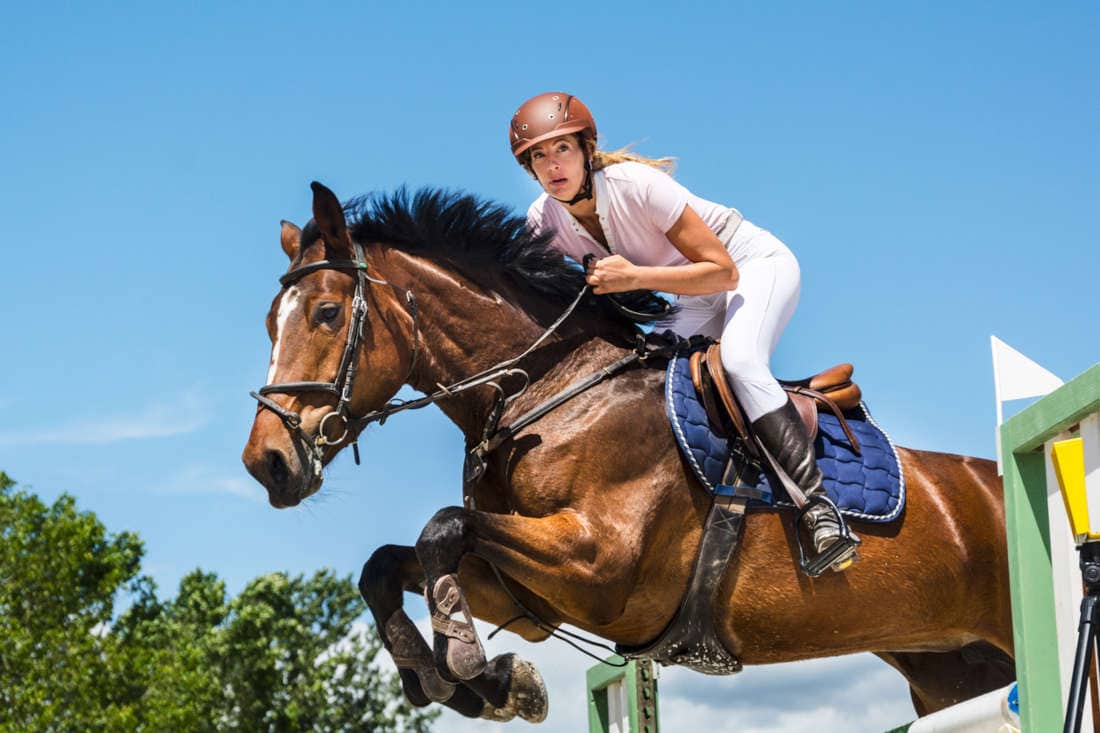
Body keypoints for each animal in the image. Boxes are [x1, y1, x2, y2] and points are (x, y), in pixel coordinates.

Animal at [242, 182, 1015, 724]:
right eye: (269, 322)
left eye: (327, 313)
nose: (266, 463)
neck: (547, 387)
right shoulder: (533, 596)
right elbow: (386, 565)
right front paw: (470, 683)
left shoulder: (598, 566)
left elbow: (443, 528)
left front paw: (474, 668)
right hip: (952, 673)